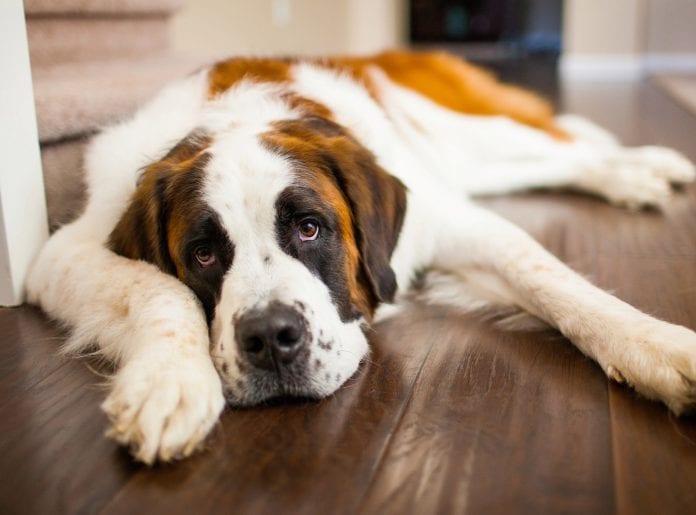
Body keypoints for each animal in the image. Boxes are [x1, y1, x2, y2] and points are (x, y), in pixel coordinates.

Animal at [25, 51, 696, 464]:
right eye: (205, 254)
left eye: (310, 229)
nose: (270, 338)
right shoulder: (63, 253)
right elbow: (157, 290)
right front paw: (169, 380)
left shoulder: (448, 220)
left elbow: (548, 276)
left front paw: (654, 345)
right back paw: (632, 175)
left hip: (470, 133)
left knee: (564, 142)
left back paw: (644, 164)